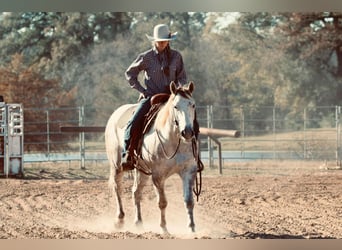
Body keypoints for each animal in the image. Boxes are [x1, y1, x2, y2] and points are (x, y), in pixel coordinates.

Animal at [105, 81, 199, 233]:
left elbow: (189, 201)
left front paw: (192, 228)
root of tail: (115, 114)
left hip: (141, 170)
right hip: (116, 166)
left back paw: (138, 222)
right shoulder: (158, 175)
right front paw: (164, 228)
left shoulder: (188, 171)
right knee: (117, 188)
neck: (172, 140)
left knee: (136, 192)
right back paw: (119, 220)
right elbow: (162, 202)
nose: (188, 132)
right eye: (175, 106)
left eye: (193, 105)